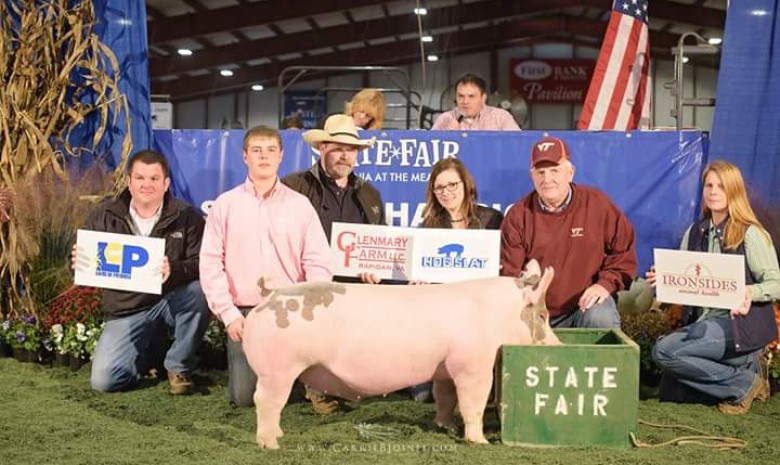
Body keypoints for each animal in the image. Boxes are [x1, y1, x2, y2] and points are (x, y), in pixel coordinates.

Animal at [241, 260, 556, 448]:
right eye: (543, 315)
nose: (558, 346)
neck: (495, 314)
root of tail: (269, 296)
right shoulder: (473, 365)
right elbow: (473, 404)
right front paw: (480, 443)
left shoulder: (445, 368)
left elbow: (445, 398)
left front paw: (447, 427)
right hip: (277, 370)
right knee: (265, 402)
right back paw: (271, 444)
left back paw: (279, 435)